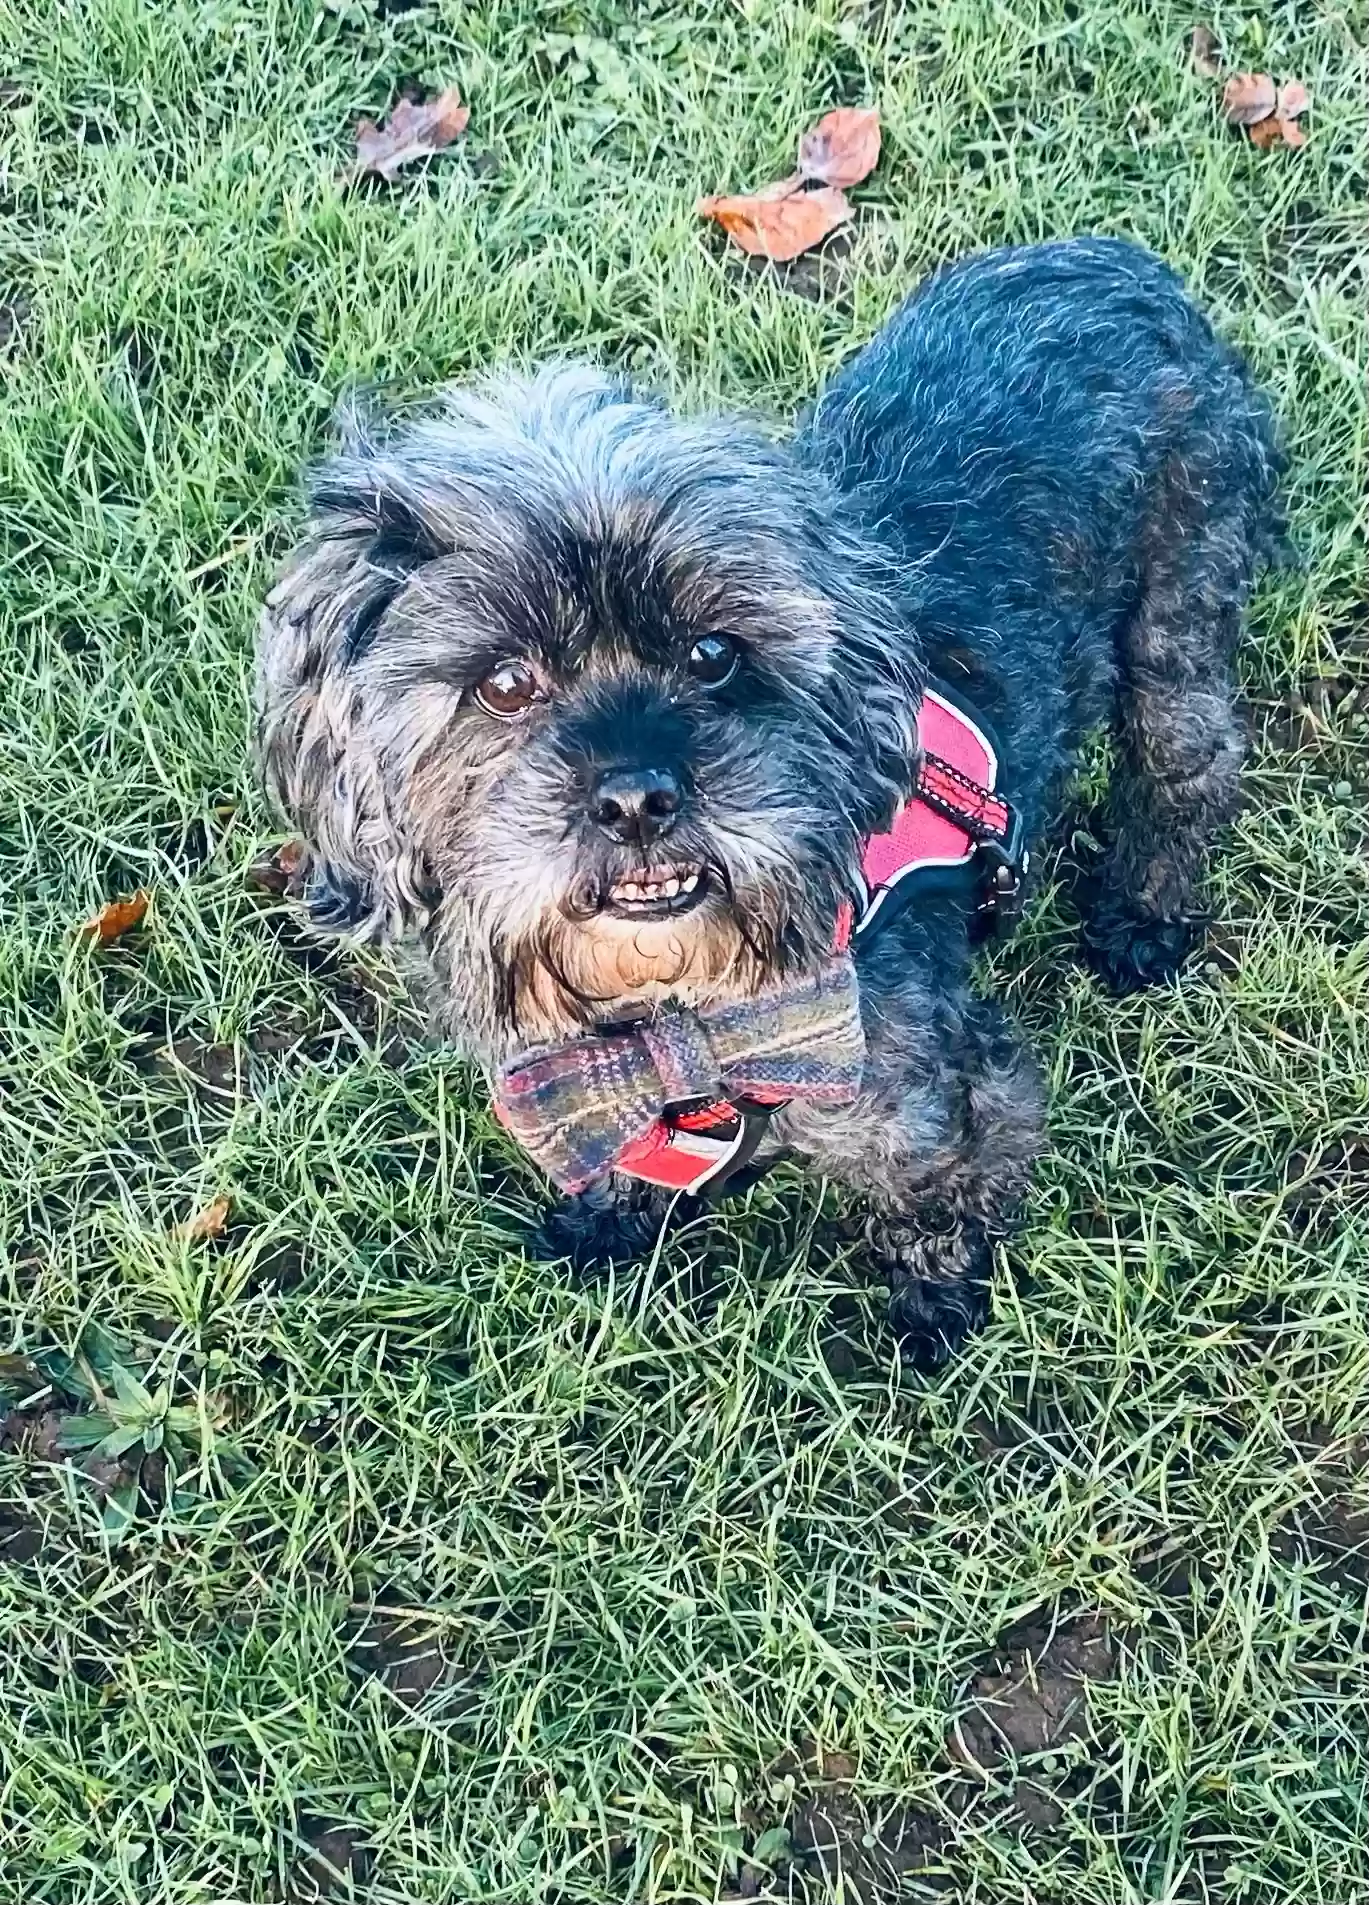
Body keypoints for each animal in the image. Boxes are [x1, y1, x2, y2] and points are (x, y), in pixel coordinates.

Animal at [255, 238, 1287, 1371]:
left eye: (712, 654)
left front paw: (933, 1306)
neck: (684, 1010)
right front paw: (613, 1215)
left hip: (1181, 591)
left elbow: (939, 1192)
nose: (637, 799)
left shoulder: (945, 1097)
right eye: (505, 683)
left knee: (1189, 759)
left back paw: (1143, 914)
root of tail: (1111, 257)